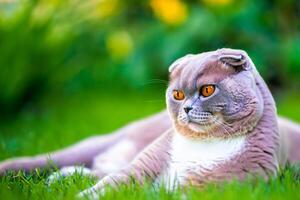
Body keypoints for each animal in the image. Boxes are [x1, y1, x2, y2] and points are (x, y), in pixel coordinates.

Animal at [0, 48, 300, 198]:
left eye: (207, 90)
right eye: (177, 95)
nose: (186, 108)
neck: (204, 145)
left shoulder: (216, 186)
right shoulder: (141, 169)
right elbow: (109, 186)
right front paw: (82, 195)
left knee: (98, 168)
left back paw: (61, 178)